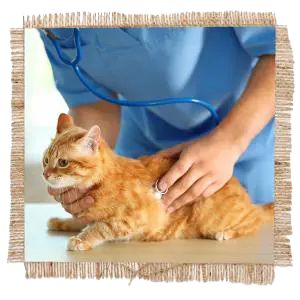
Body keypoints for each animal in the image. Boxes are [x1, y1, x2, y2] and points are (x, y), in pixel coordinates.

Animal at [42, 112, 274, 251]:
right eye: (45, 160)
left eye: (62, 162)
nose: (45, 174)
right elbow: (83, 221)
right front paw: (61, 222)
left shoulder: (130, 219)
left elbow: (99, 227)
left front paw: (81, 240)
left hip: (212, 215)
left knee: (254, 219)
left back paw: (226, 232)